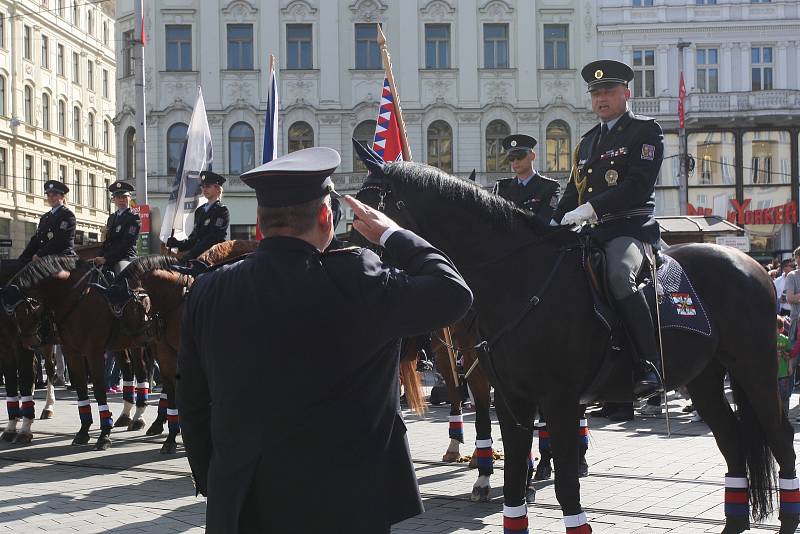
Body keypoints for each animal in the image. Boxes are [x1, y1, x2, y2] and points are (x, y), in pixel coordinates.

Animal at [354, 148, 792, 534]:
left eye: (366, 211)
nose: (360, 270)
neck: (518, 278)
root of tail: (750, 264)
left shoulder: (559, 399)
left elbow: (566, 486)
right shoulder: (511, 399)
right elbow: (513, 483)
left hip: (755, 369)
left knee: (780, 438)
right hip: (704, 378)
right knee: (733, 440)